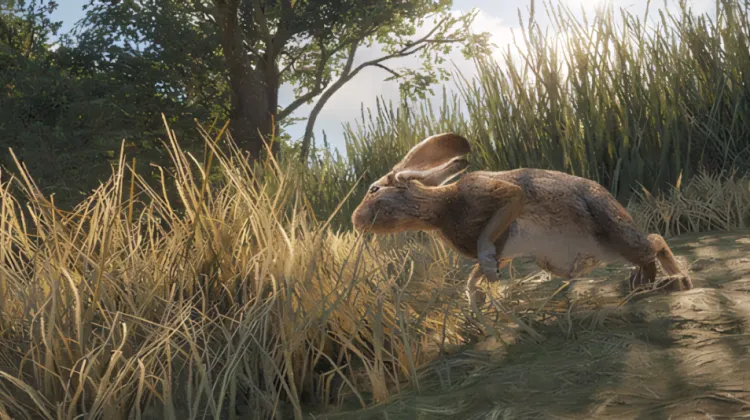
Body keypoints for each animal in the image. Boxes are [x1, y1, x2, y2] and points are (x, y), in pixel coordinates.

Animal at [351, 132, 693, 312]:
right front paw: (477, 299)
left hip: (615, 233)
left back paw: (669, 280)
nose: (355, 221)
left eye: (374, 190)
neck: (440, 206)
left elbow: (501, 213)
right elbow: (476, 272)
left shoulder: (494, 196)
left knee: (655, 243)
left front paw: (487, 279)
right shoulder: (504, 248)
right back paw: (649, 282)